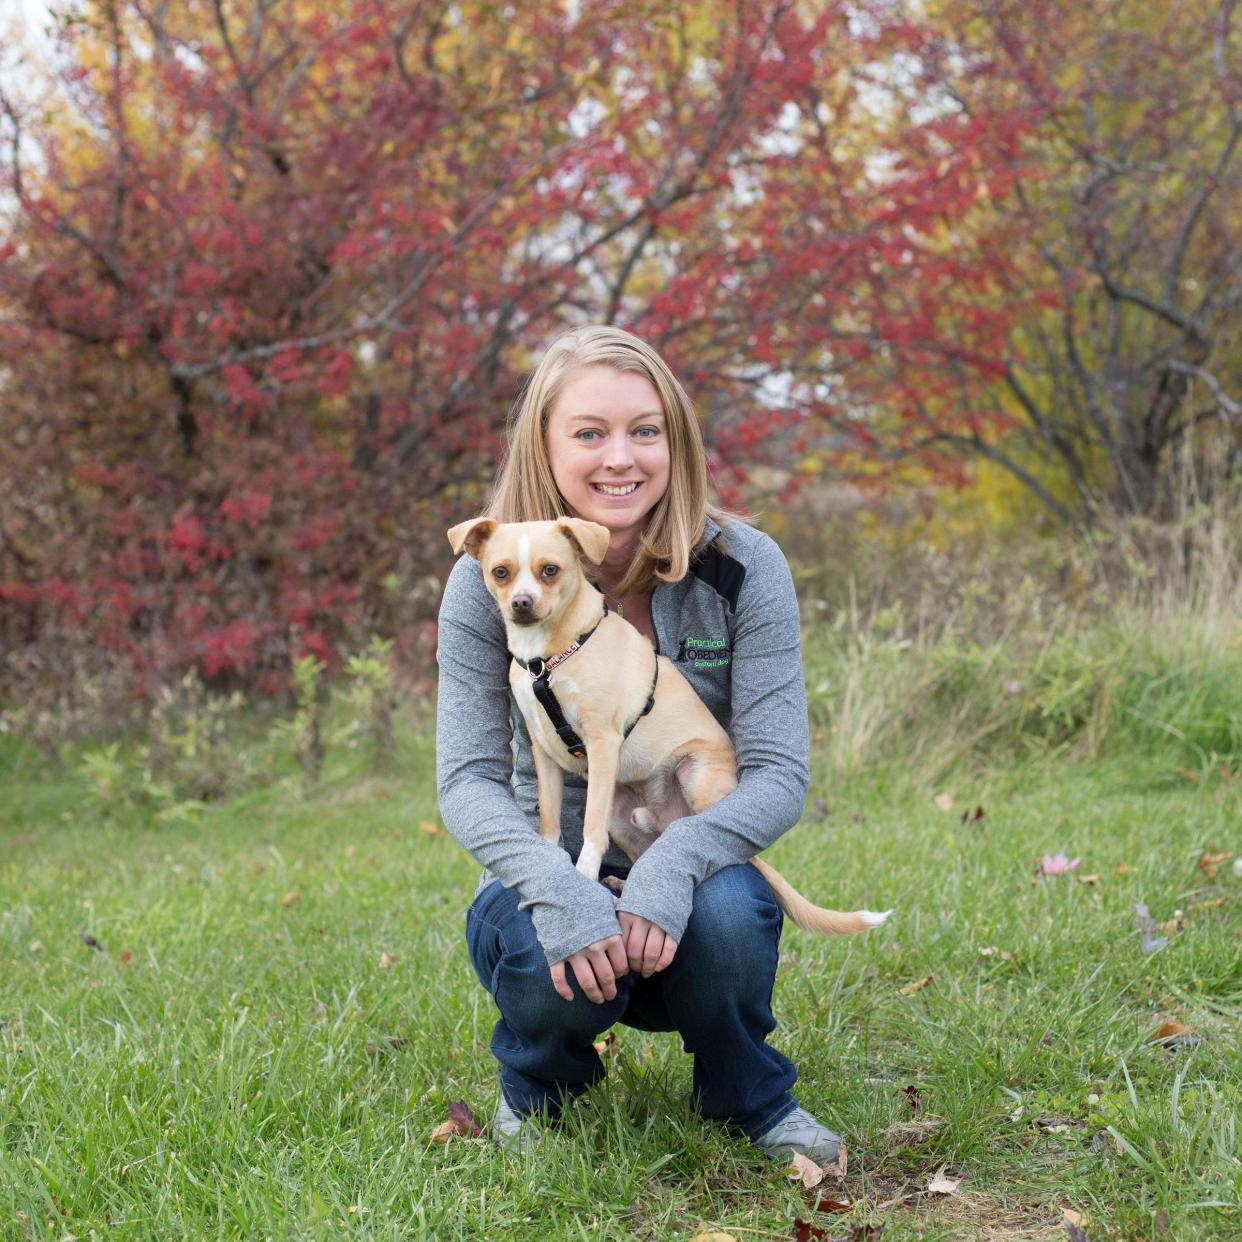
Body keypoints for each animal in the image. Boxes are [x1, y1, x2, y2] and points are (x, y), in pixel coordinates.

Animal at [452, 511, 889, 933]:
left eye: (550, 570)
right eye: (501, 572)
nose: (522, 603)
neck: (549, 657)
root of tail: (666, 817)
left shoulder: (602, 742)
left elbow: (590, 830)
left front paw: (583, 878)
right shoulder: (545, 750)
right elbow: (549, 825)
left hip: (695, 780)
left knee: (729, 849)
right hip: (622, 818)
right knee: (648, 851)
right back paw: (624, 881)